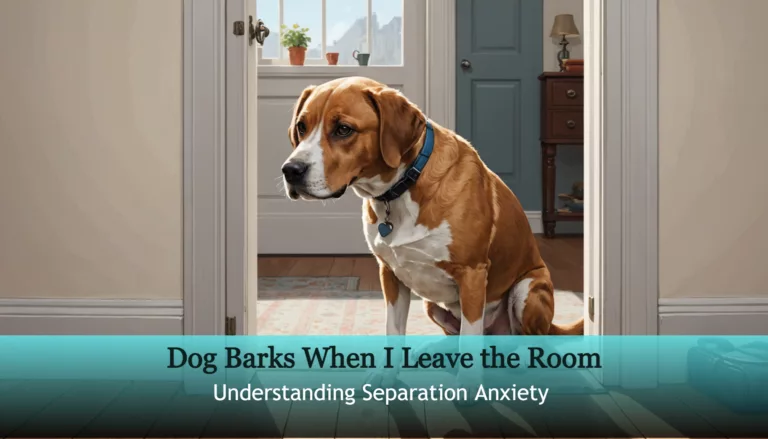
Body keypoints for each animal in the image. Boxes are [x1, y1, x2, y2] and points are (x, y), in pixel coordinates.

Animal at [282, 77, 584, 340]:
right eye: (301, 127)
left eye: (343, 129)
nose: (290, 170)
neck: (401, 189)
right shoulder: (390, 275)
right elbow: (394, 333)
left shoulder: (473, 276)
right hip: (432, 305)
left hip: (528, 289)